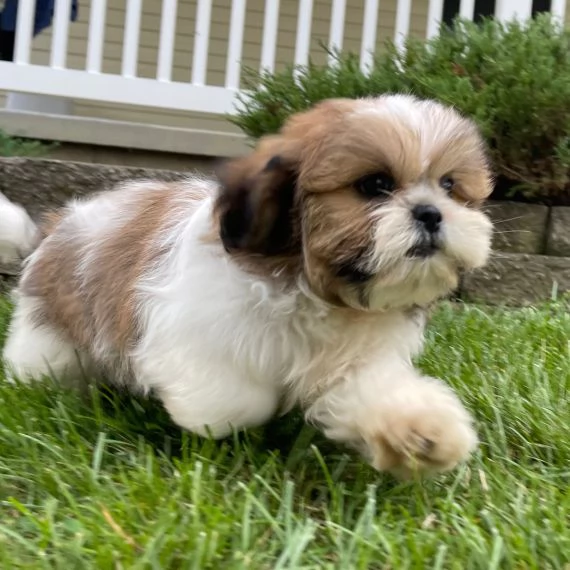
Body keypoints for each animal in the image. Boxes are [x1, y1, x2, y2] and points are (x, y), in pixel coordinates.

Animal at [1, 95, 492, 478]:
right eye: (374, 185)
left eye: (449, 185)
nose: (431, 212)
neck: (315, 292)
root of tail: (53, 229)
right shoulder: (190, 333)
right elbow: (237, 401)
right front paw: (217, 420)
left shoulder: (353, 361)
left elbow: (372, 392)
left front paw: (422, 432)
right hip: (49, 340)